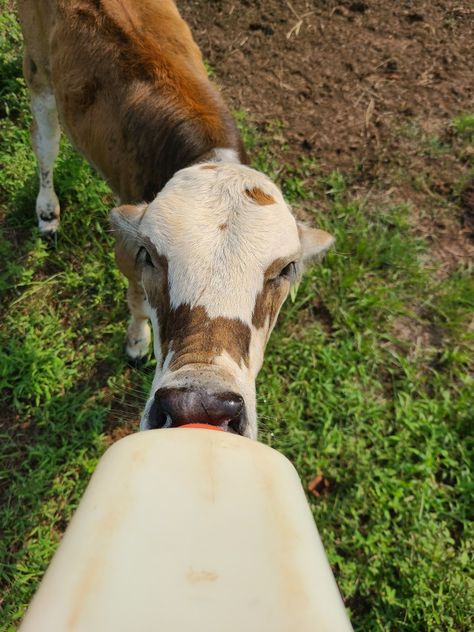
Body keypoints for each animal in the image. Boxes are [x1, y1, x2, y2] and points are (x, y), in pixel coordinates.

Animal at [16, 0, 332, 440]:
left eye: (286, 269)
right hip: (37, 68)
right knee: (45, 140)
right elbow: (135, 300)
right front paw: (136, 342)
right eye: (149, 255)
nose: (199, 405)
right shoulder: (125, 248)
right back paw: (47, 211)